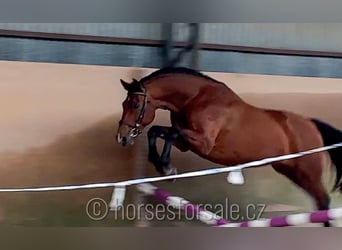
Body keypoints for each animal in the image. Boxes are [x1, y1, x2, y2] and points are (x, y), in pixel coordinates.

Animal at [115, 67, 342, 227]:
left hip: (308, 171)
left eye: (135, 104)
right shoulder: (185, 143)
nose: (122, 138)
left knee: (324, 201)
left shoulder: (203, 143)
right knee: (320, 202)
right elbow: (156, 132)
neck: (197, 98)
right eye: (124, 104)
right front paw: (163, 166)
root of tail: (311, 124)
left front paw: (166, 167)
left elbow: (170, 134)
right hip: (291, 170)